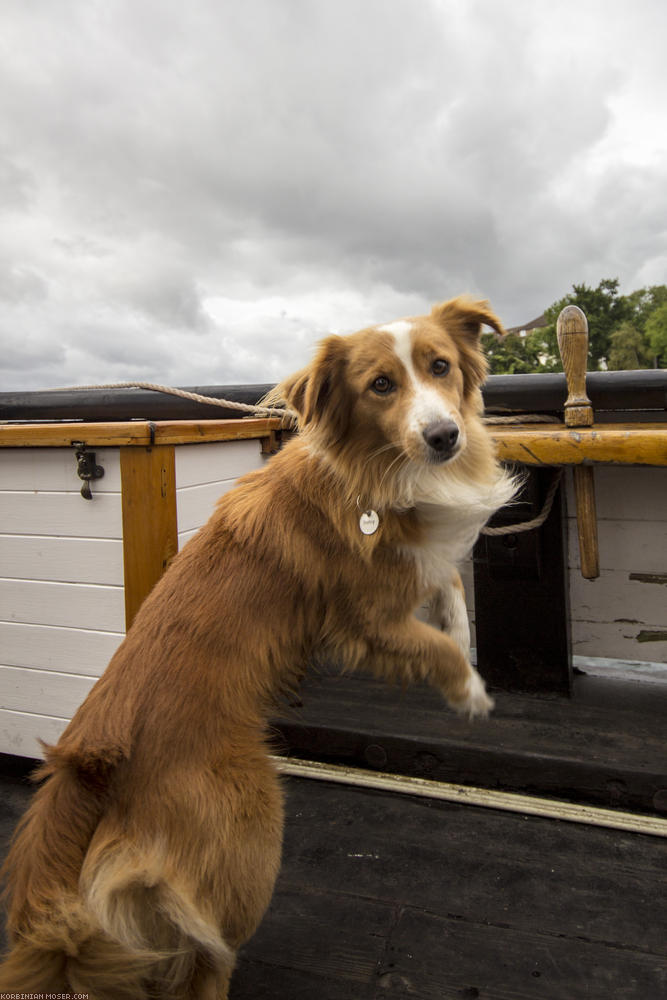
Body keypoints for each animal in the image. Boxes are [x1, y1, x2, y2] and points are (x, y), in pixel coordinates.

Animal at [0, 292, 520, 996]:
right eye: (380, 386)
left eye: (440, 366)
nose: (444, 437)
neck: (380, 472)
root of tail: (88, 765)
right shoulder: (365, 622)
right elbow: (431, 644)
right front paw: (470, 695)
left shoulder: (419, 566)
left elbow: (452, 594)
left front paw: (464, 646)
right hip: (253, 816)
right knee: (206, 955)